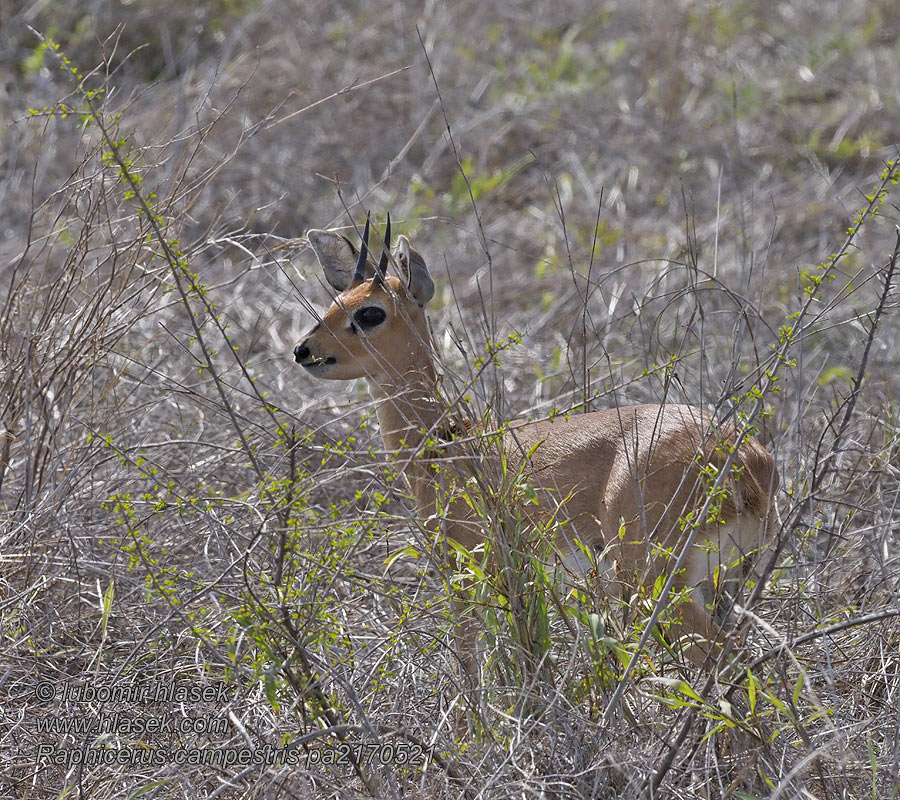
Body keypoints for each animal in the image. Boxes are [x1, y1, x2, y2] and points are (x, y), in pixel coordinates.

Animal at [296, 216, 780, 672]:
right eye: (334, 303)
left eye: (370, 313)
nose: (304, 350)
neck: (448, 443)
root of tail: (742, 458)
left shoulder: (469, 569)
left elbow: (475, 658)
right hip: (723, 584)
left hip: (655, 584)